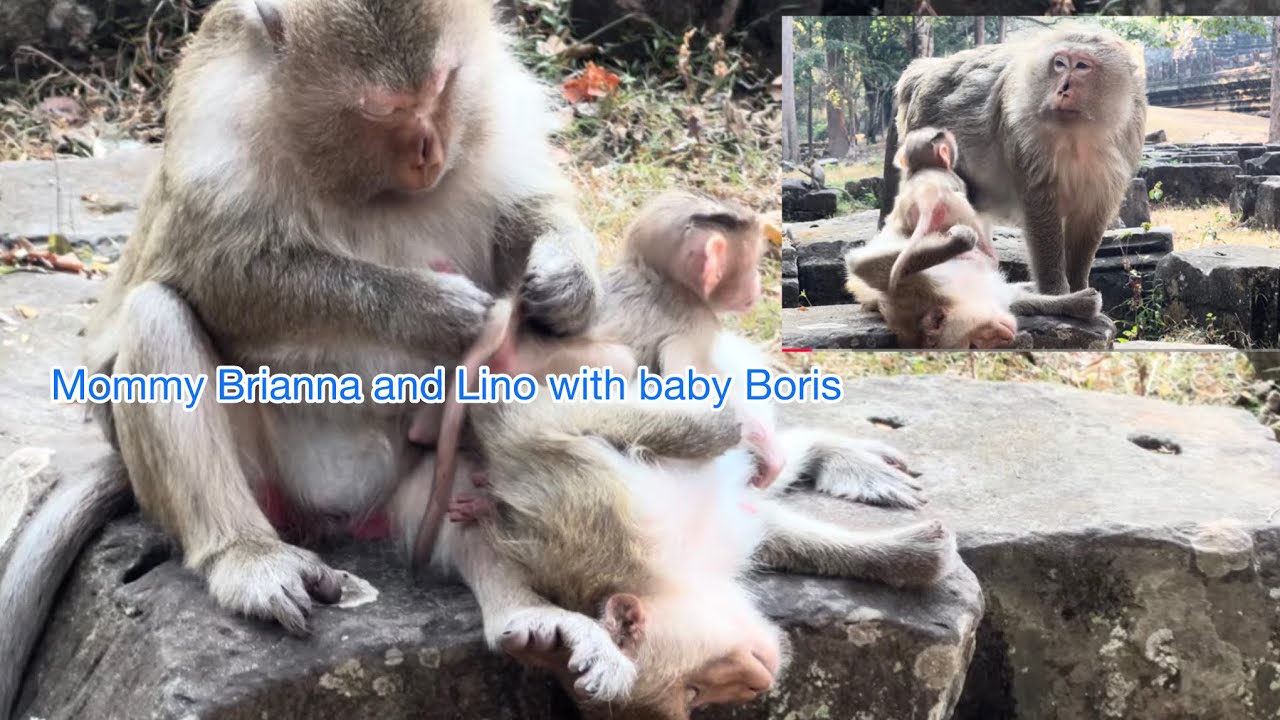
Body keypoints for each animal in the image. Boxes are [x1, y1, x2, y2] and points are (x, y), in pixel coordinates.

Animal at [0, 0, 607, 715]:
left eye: (442, 87)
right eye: (383, 109)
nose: (429, 151)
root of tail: (338, 513)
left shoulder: (487, 110)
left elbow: (523, 215)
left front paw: (567, 279)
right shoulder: (217, 131)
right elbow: (224, 278)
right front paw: (430, 309)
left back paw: (533, 620)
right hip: (263, 478)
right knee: (157, 314)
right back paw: (247, 559)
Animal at [891, 25, 1146, 296]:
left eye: (1081, 66)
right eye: (1059, 64)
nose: (1063, 88)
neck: (1077, 135)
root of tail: (922, 71)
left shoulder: (1126, 137)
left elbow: (1090, 216)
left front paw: (1079, 286)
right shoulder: (1023, 135)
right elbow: (1040, 208)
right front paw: (1056, 292)